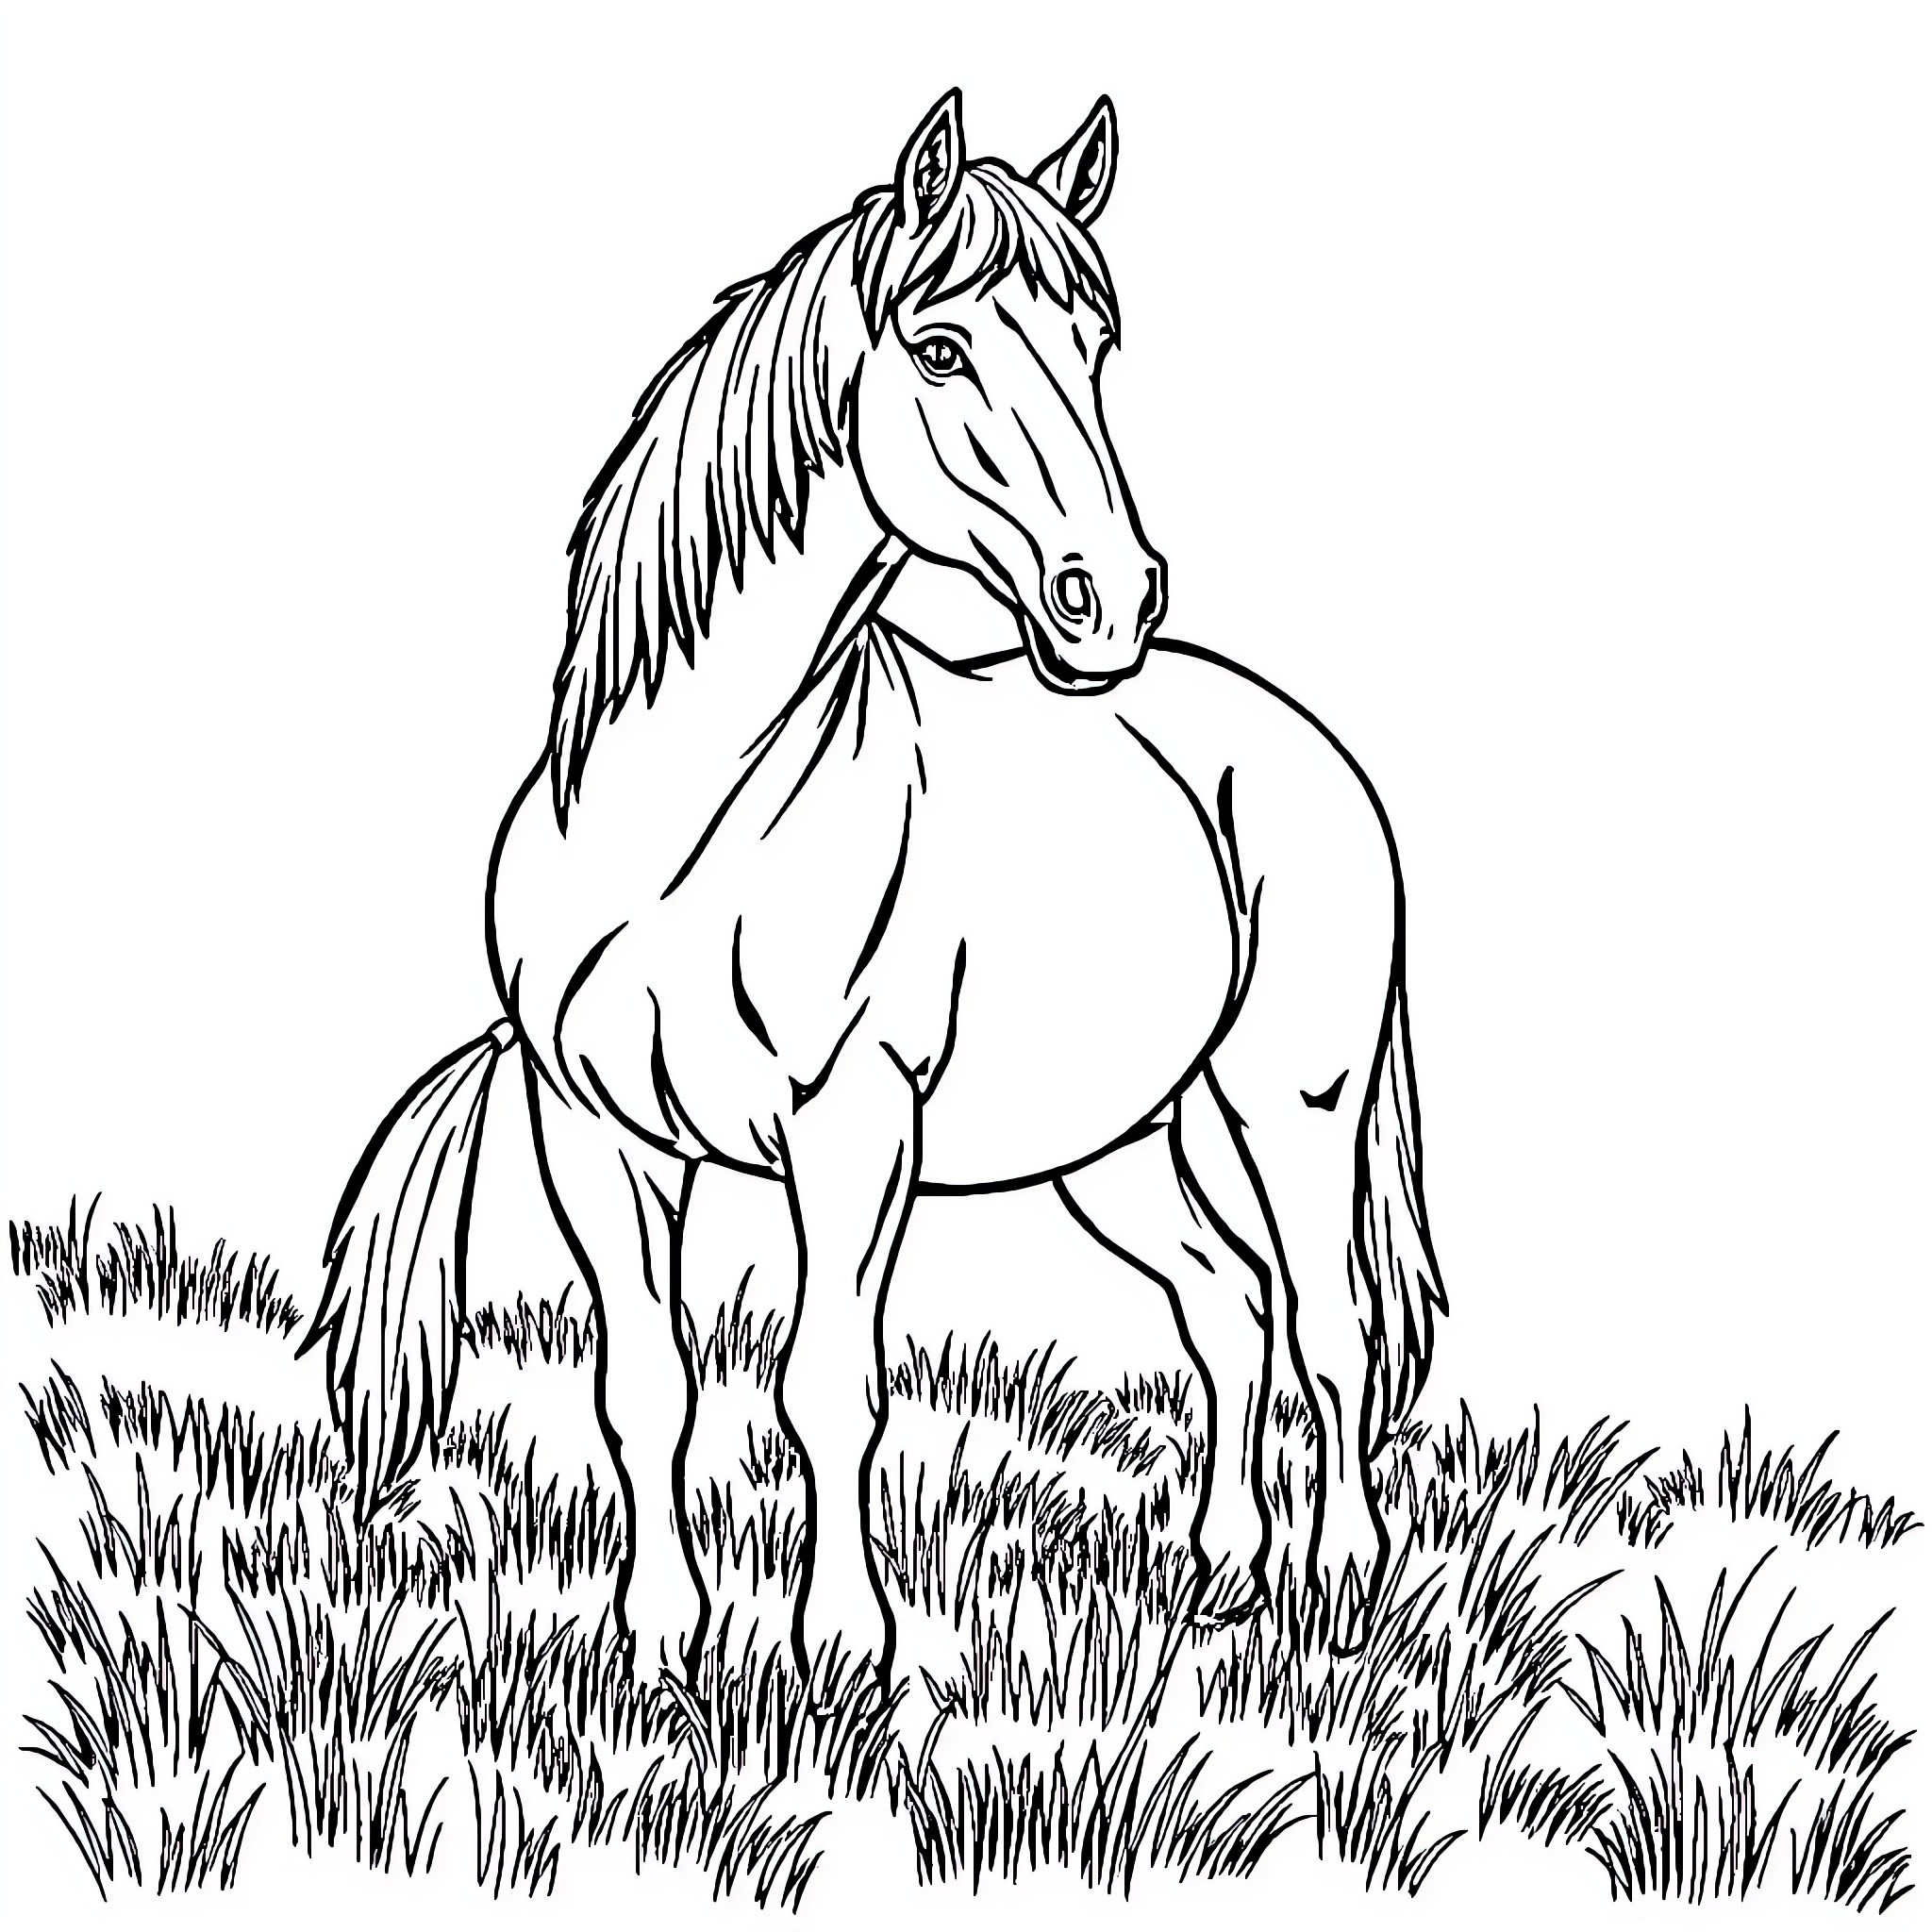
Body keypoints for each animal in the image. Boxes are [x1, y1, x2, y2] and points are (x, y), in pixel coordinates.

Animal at [303, 92, 1445, 1697]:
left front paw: (846, 1661)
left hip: (1295, 1098)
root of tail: (1295, 740)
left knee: (1330, 1327)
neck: (678, 826)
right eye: (943, 348)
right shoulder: (592, 1135)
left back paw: (1336, 1594)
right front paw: (657, 1655)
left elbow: (831, 1383)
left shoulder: (850, 1125)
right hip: (1112, 1145)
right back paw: (1219, 1578)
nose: (1113, 597)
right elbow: (644, 1384)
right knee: (1228, 1305)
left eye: (1094, 344)